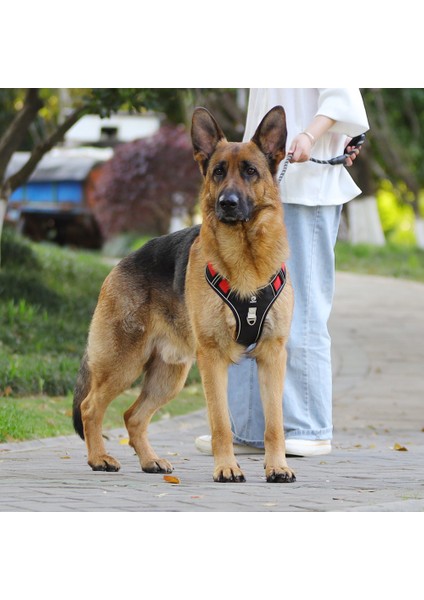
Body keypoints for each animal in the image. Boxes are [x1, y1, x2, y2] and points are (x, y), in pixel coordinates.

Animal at [73, 106, 294, 482]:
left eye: (250, 171)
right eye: (218, 172)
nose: (227, 203)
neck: (246, 258)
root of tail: (120, 263)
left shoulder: (271, 356)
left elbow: (274, 424)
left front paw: (278, 466)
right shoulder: (213, 359)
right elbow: (220, 423)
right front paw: (226, 468)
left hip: (169, 376)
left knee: (132, 416)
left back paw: (150, 461)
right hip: (123, 363)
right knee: (91, 406)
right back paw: (99, 458)